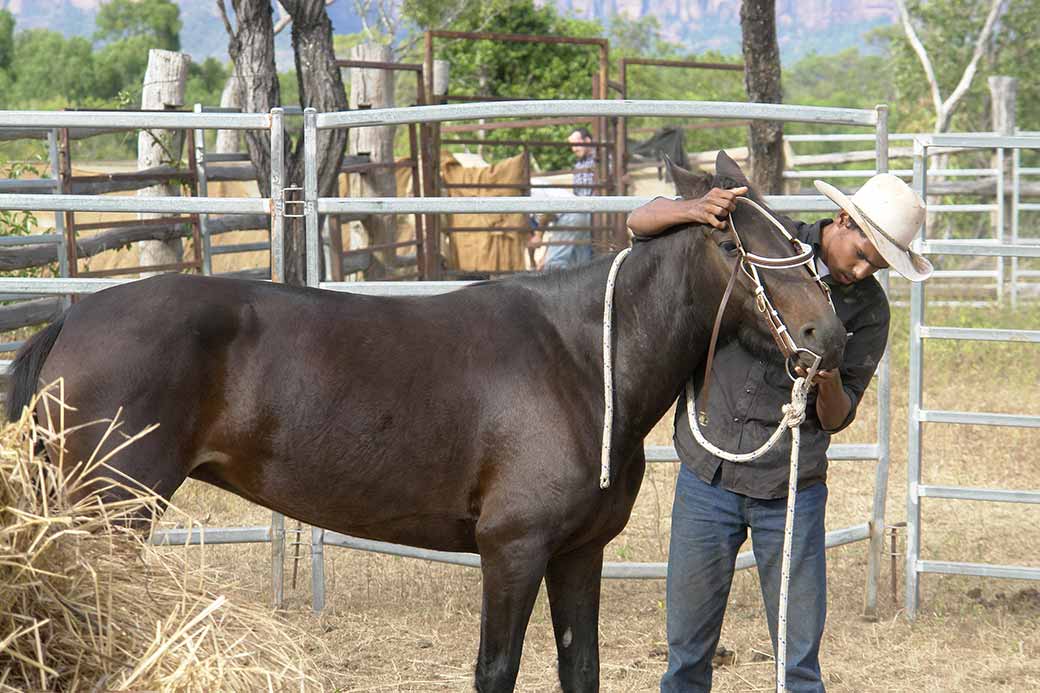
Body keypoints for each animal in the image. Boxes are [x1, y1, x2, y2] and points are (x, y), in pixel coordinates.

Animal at [6, 152, 844, 690]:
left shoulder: (580, 552)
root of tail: (70, 321)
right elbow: (496, 668)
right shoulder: (512, 550)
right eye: (734, 241)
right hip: (109, 512)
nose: (827, 336)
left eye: (795, 234)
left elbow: (580, 665)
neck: (584, 355)